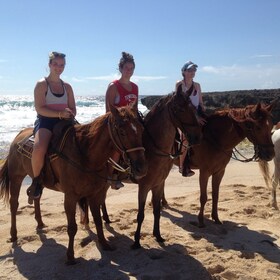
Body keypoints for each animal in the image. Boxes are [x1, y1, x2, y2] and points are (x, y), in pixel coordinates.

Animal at [0, 105, 148, 264]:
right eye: (122, 131)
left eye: (141, 128)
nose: (142, 168)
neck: (85, 155)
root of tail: (18, 136)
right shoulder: (70, 197)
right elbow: (72, 227)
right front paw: (70, 256)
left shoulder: (94, 194)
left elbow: (97, 220)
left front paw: (104, 244)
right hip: (16, 177)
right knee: (14, 204)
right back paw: (13, 234)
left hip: (38, 182)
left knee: (36, 197)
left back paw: (40, 223)